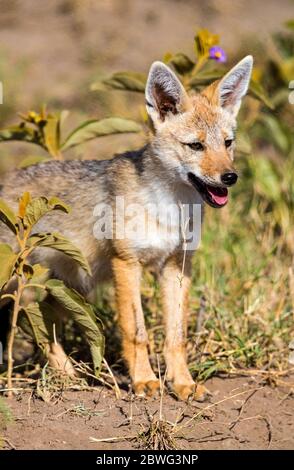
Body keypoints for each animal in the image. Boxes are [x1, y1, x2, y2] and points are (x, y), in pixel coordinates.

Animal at [0, 55, 253, 400]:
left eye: (228, 143)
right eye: (195, 146)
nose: (230, 177)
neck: (169, 207)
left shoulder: (177, 265)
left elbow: (176, 337)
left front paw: (182, 383)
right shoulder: (127, 263)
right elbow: (137, 332)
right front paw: (144, 381)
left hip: (66, 289)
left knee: (41, 324)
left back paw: (68, 375)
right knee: (30, 322)